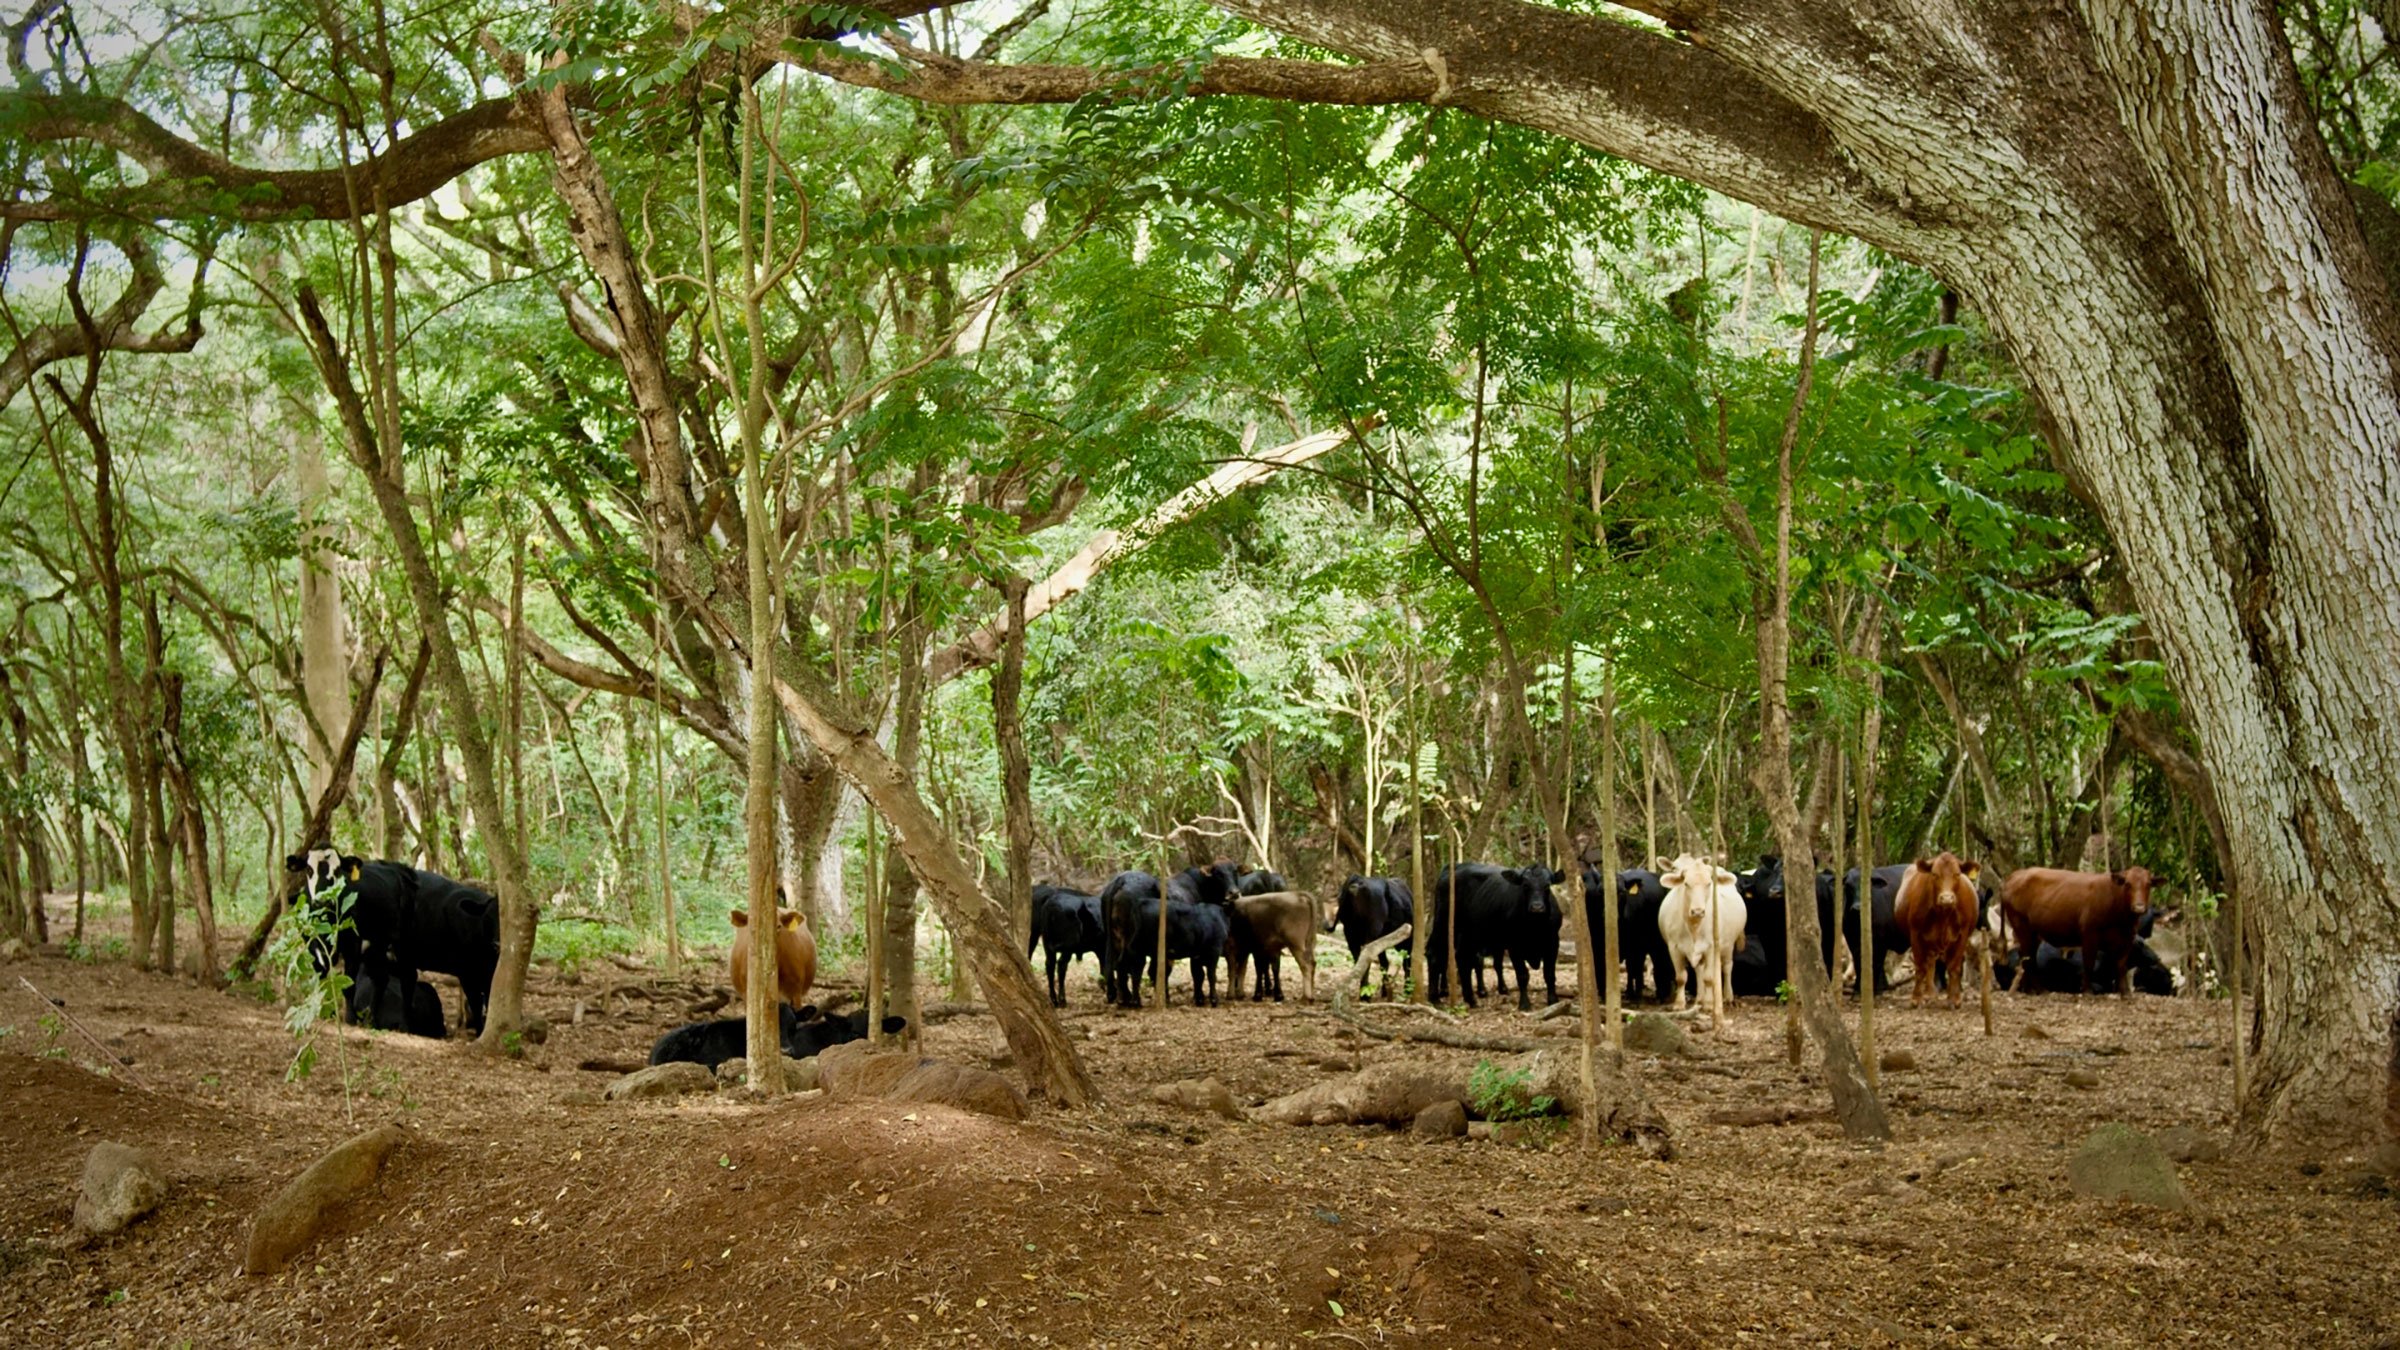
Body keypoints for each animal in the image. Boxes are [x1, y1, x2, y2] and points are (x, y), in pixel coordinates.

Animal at [1657, 854, 1747, 1022]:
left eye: (1709, 883)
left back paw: (1727, 997)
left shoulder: (1711, 946)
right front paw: (1679, 1004)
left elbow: (1709, 978)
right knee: (1699, 970)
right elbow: (1681, 977)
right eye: (1686, 883)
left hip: (1728, 945)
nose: (1698, 911)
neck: (1693, 926)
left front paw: (1709, 1005)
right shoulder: (1673, 947)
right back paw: (1700, 998)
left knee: (1726, 967)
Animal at [1892, 852, 1983, 1007]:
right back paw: (1929, 993)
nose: (1946, 898)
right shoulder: (1916, 934)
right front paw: (1916, 998)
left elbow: (1954, 967)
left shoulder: (1962, 935)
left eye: (1957, 874)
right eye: (1934, 874)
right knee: (1929, 964)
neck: (1943, 915)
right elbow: (1920, 967)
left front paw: (1954, 998)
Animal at [1999, 866, 2156, 994]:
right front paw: (2087, 991)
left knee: (2027, 956)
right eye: (2128, 884)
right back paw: (2037, 990)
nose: (2139, 907)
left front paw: (2126, 993)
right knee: (2027, 958)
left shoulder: (2127, 938)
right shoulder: (2089, 934)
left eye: (2148, 885)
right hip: (2022, 927)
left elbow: (2121, 965)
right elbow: (2089, 964)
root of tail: (2014, 876)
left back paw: (2029, 989)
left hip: (2034, 933)